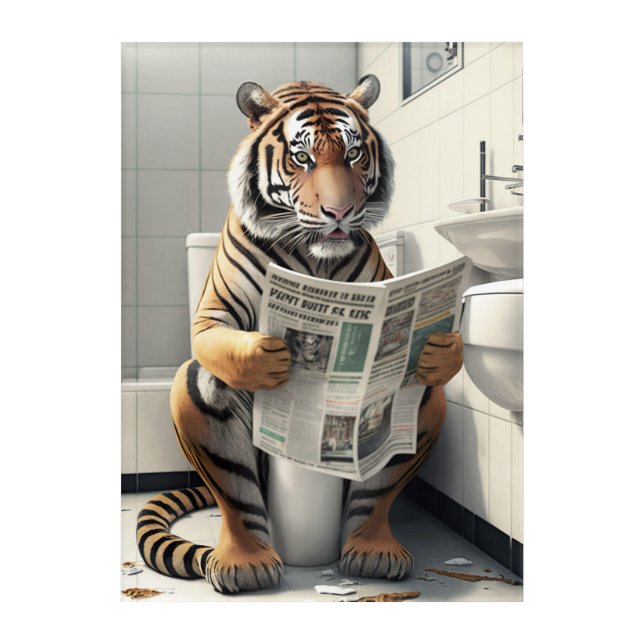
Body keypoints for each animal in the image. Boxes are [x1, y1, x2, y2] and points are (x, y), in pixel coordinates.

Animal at [136, 75, 464, 595]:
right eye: (303, 157)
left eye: (353, 154)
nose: (340, 211)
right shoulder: (214, 315)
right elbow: (214, 336)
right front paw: (267, 356)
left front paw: (439, 349)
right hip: (204, 399)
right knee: (239, 497)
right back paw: (245, 563)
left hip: (404, 410)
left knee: (375, 492)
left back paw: (373, 552)